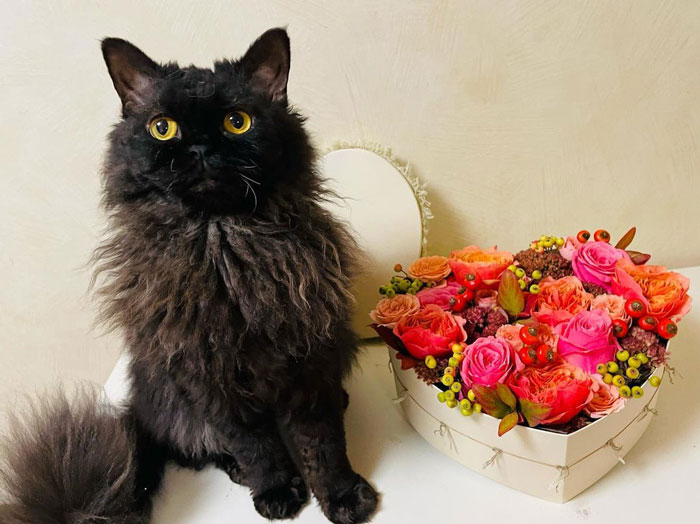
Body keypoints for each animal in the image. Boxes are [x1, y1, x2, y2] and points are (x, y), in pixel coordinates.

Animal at [0, 28, 380, 524]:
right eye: (162, 128)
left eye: (237, 122)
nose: (200, 149)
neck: (222, 246)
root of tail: (138, 416)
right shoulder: (206, 376)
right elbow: (255, 446)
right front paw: (277, 491)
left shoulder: (308, 358)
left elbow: (322, 445)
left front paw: (343, 496)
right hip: (172, 398)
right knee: (200, 449)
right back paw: (240, 471)